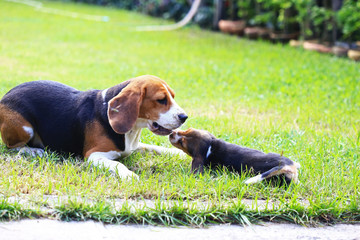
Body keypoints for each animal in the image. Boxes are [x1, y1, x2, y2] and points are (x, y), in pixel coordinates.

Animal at [0, 76, 188, 179]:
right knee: (11, 146)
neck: (133, 130)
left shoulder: (133, 146)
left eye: (172, 96)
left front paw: (178, 153)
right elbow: (118, 164)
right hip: (25, 128)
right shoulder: (94, 155)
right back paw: (32, 150)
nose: (184, 117)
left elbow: (155, 148)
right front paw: (129, 175)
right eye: (161, 100)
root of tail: (6, 95)